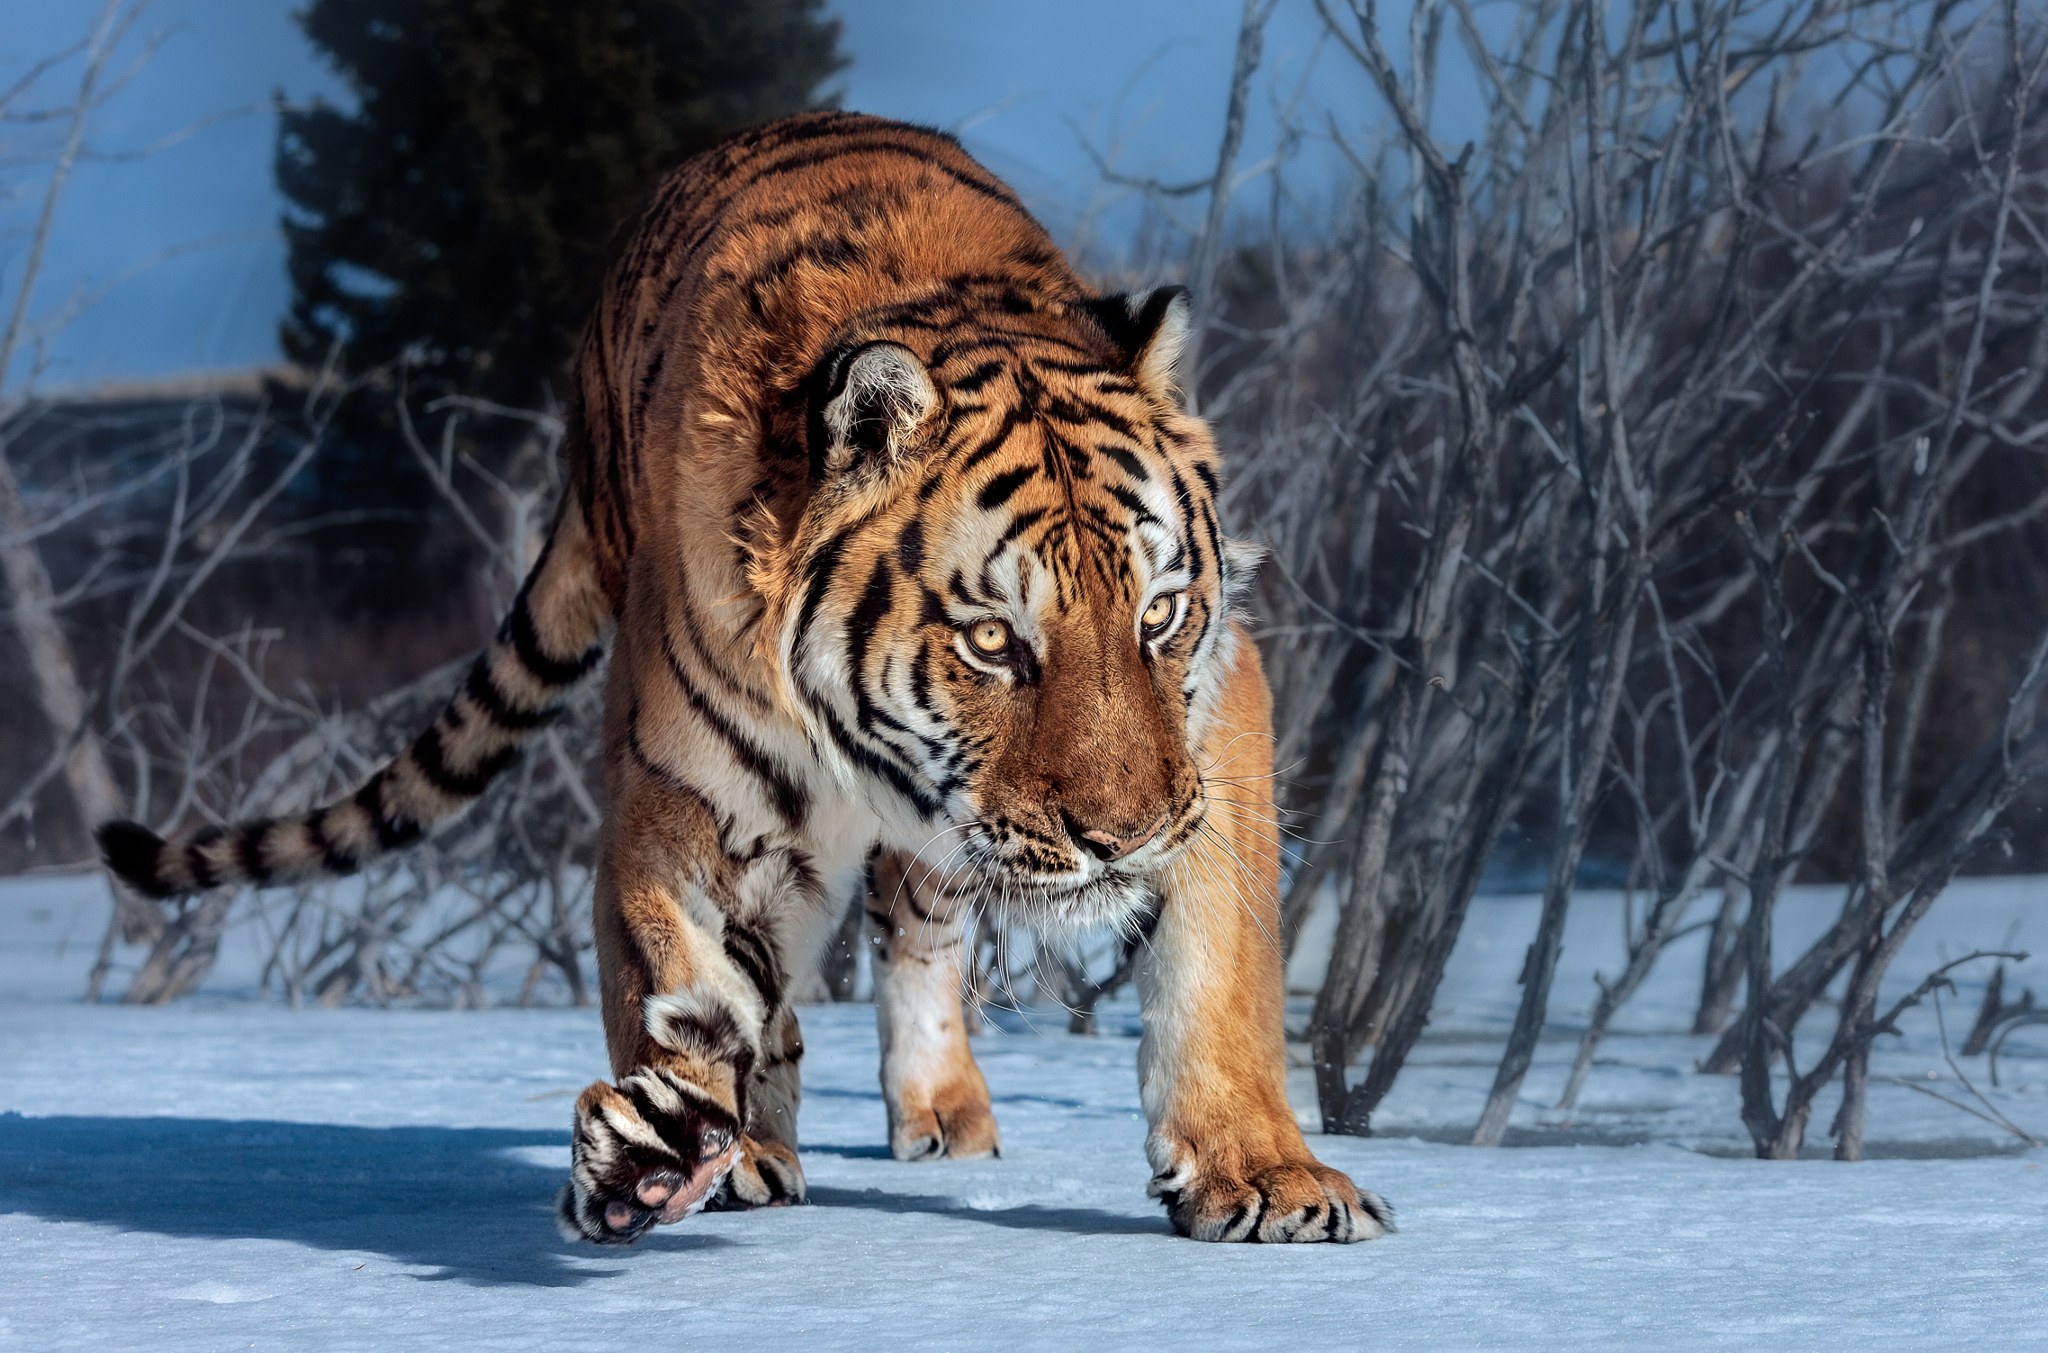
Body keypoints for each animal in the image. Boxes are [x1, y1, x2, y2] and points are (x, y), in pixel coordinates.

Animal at [108, 111, 1392, 1236]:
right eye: (991, 642)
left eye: (1158, 615)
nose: (1117, 842)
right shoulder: (685, 799)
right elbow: (687, 979)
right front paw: (669, 1153)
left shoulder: (1216, 728)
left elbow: (1221, 971)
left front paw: (1266, 1177)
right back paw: (756, 1143)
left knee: (917, 931)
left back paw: (942, 1117)